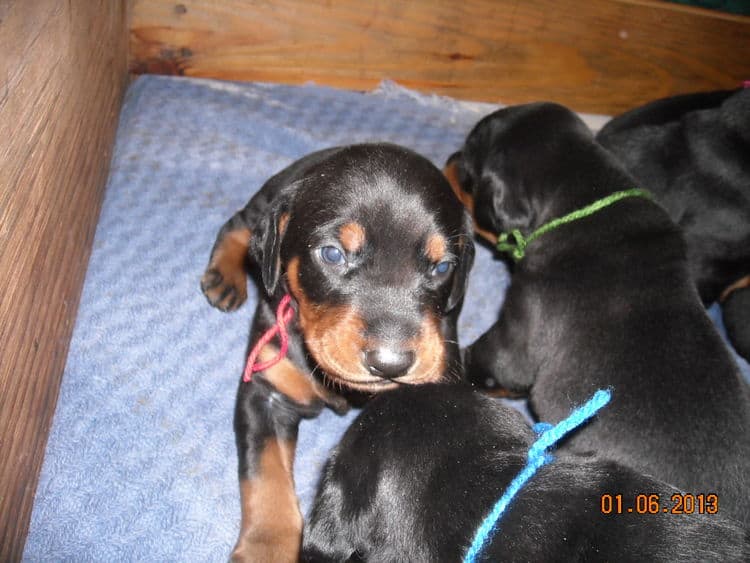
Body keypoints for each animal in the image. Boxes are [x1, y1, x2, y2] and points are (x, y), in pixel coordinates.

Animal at [200, 143, 476, 560]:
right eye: (332, 254)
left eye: (442, 267)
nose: (391, 363)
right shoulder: (266, 391)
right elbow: (265, 474)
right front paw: (266, 547)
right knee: (239, 224)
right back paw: (225, 276)